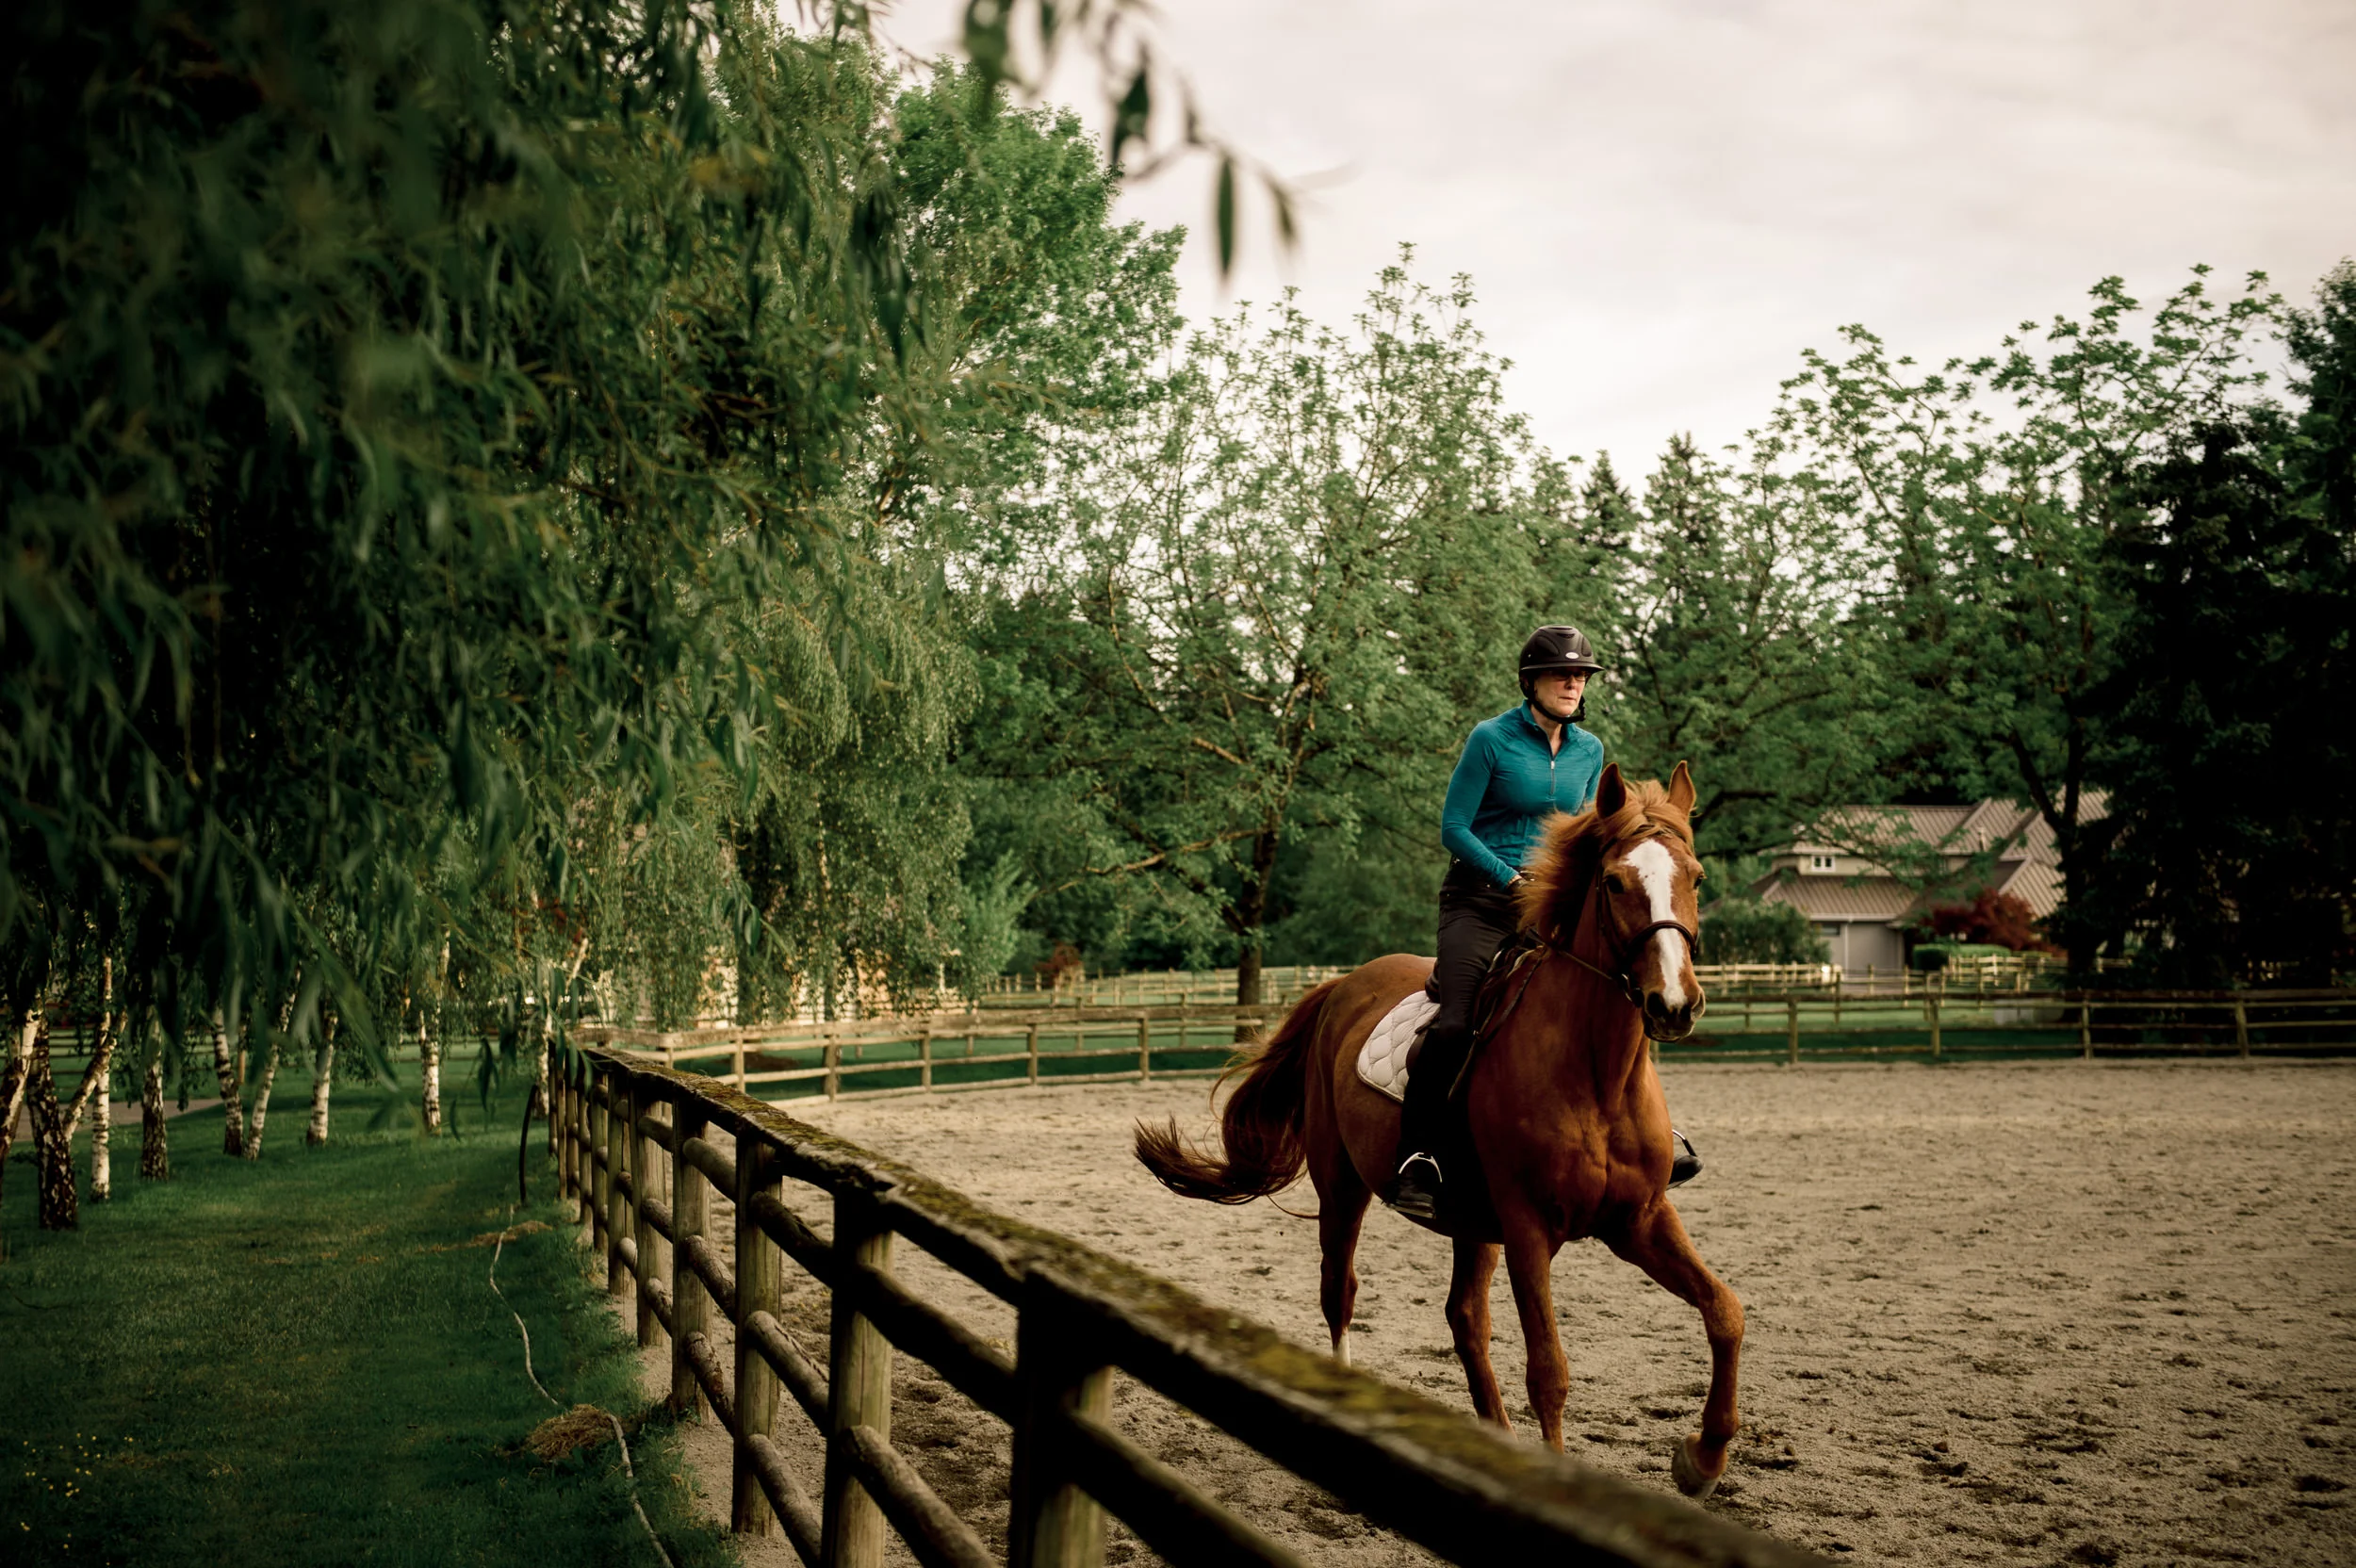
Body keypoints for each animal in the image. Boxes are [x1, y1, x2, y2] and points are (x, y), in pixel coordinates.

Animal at [1134, 761, 1743, 1499]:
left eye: (1697, 877)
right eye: (1615, 883)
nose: (1675, 1004)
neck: (1594, 1073)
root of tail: (1342, 986)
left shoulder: (1640, 1218)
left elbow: (1725, 1312)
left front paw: (1701, 1462)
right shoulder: (1529, 1229)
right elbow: (1549, 1371)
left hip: (1470, 1221)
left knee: (1465, 1320)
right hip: (1344, 1189)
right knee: (1340, 1292)